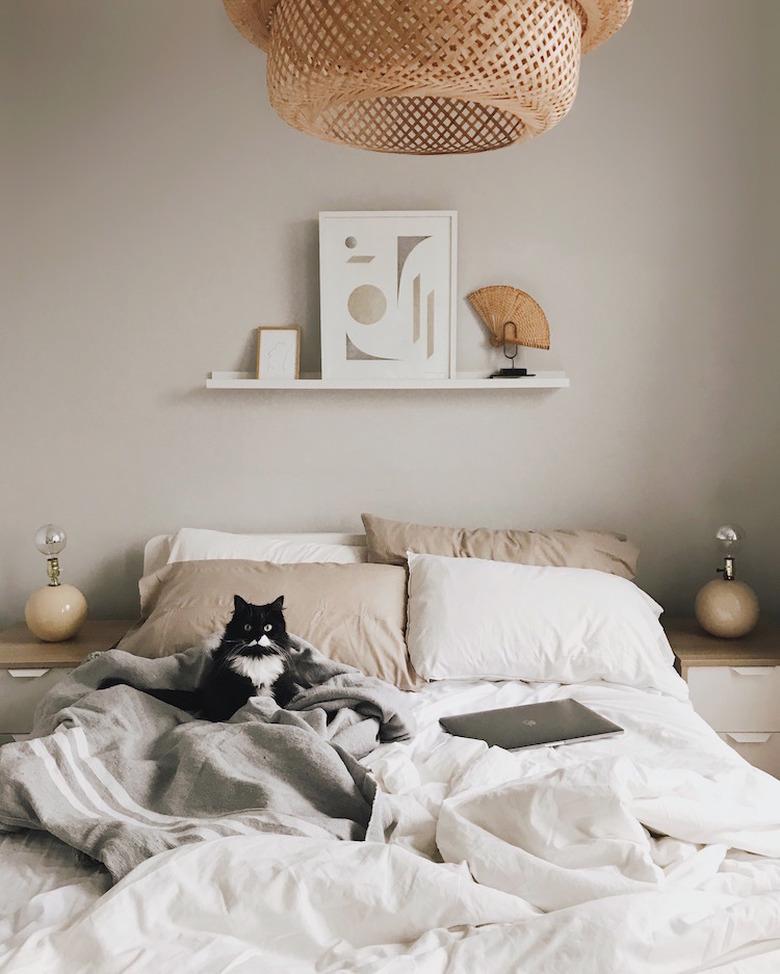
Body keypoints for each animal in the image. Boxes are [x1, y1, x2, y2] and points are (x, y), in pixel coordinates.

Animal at [99, 596, 300, 724]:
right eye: (247, 627)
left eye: (267, 627)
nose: (258, 637)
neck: (256, 657)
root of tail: (202, 693)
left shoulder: (280, 685)